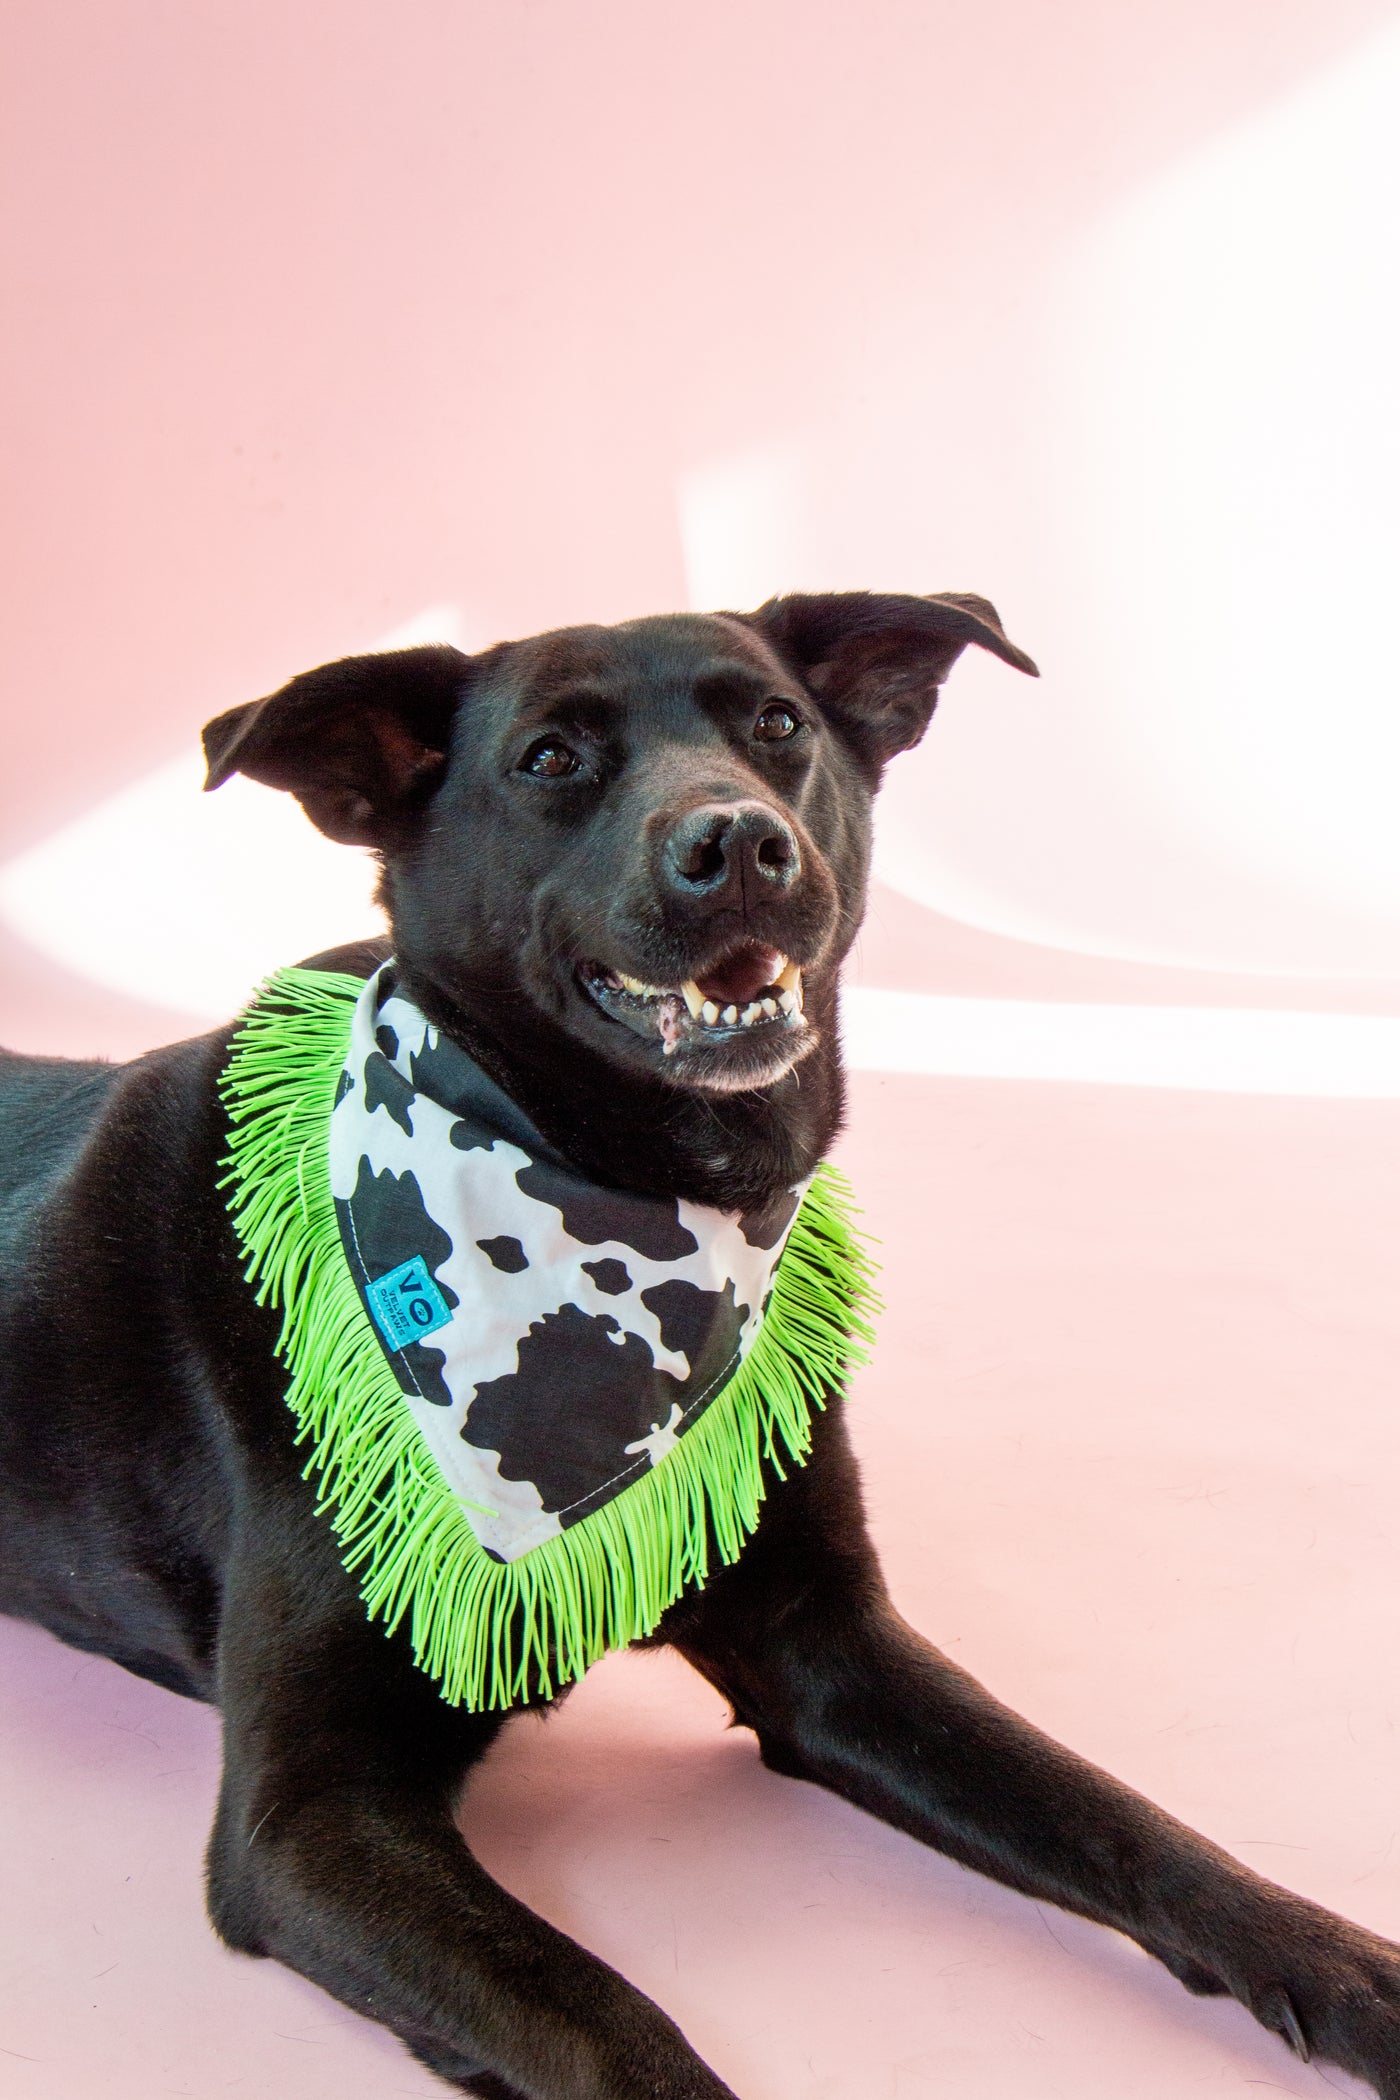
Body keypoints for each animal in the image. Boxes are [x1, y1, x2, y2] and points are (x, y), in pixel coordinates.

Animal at [2, 596, 1400, 2100]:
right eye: (550, 758)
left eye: (776, 722)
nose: (736, 842)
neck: (623, 1199)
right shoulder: (308, 1816)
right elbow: (607, 2028)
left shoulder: (824, 1644)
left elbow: (1118, 1817)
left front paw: (1340, 1964)